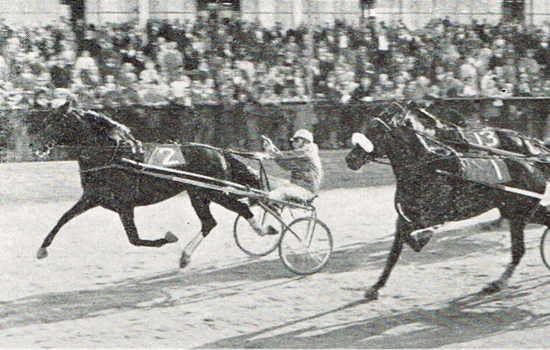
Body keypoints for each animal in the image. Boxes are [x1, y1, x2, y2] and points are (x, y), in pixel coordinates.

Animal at [30, 102, 268, 268]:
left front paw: (168, 238)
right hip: (198, 194)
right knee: (209, 222)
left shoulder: (124, 205)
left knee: (241, 208)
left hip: (211, 191)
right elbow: (63, 218)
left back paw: (263, 230)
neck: (114, 156)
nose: (33, 144)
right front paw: (42, 249)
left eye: (52, 121)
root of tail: (219, 151)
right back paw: (185, 257)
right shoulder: (92, 198)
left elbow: (134, 239)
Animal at [348, 100, 550, 300]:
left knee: (519, 249)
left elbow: (413, 237)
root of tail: (535, 162)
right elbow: (394, 253)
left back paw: (497, 283)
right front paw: (376, 287)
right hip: (519, 210)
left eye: (376, 131)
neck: (427, 168)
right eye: (366, 127)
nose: (350, 159)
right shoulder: (405, 217)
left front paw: (423, 237)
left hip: (519, 213)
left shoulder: (434, 215)